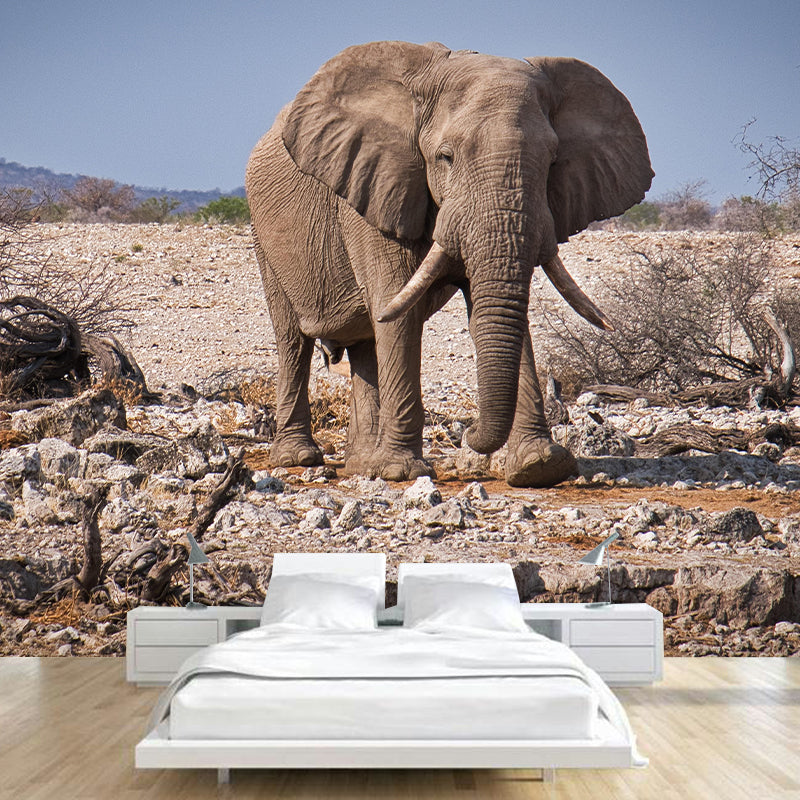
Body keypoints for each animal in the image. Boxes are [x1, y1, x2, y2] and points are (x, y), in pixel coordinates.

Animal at [245, 41, 653, 487]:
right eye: (445, 157)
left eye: (551, 162)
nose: (470, 434)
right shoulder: (375, 189)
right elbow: (397, 310)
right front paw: (401, 472)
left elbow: (495, 311)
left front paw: (541, 466)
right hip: (264, 235)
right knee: (293, 340)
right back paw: (299, 458)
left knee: (366, 343)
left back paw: (361, 464)